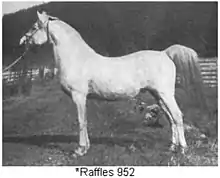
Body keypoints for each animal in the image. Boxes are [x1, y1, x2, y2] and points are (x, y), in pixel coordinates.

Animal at [19, 10, 203, 156]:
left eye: (34, 27)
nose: (23, 41)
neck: (77, 58)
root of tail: (165, 53)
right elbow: (85, 121)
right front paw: (86, 147)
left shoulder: (78, 97)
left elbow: (81, 121)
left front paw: (80, 150)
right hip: (158, 95)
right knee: (170, 118)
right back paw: (172, 147)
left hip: (166, 94)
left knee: (177, 116)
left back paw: (183, 149)